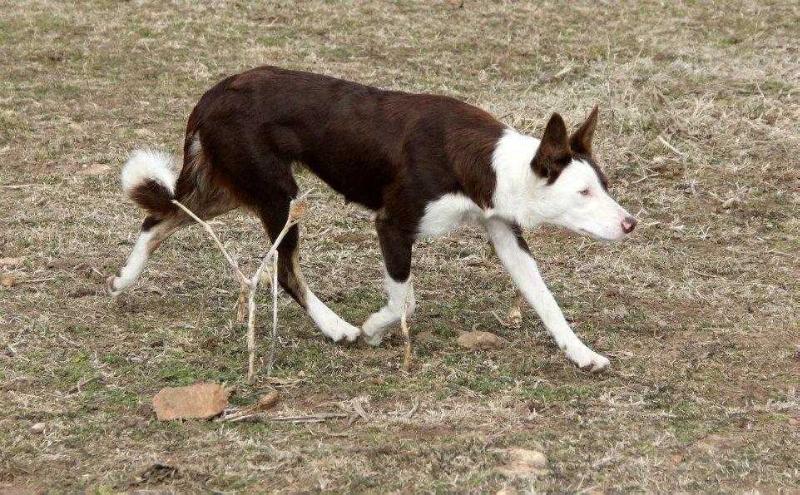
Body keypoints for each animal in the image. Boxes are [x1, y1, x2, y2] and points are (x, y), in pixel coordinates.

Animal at [109, 68, 636, 374]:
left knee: (158, 218)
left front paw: (581, 353)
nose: (630, 223)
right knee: (284, 272)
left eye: (604, 185)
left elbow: (547, 302)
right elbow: (406, 300)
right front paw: (373, 328)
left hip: (235, 188)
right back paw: (336, 327)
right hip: (278, 195)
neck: (486, 164)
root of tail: (213, 94)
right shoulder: (392, 225)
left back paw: (124, 279)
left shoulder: (505, 232)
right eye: (584, 192)